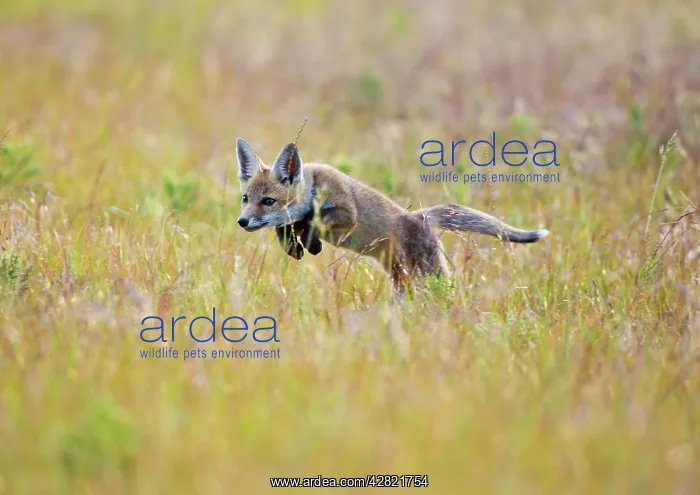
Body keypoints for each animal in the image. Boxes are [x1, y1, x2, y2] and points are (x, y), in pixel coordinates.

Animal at [235, 138, 549, 291]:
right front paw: (295, 247)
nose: (242, 221)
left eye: (268, 201)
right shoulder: (294, 220)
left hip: (428, 273)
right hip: (401, 277)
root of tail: (419, 217)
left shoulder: (347, 211)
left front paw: (311, 242)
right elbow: (284, 230)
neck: (314, 185)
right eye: (246, 199)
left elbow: (316, 219)